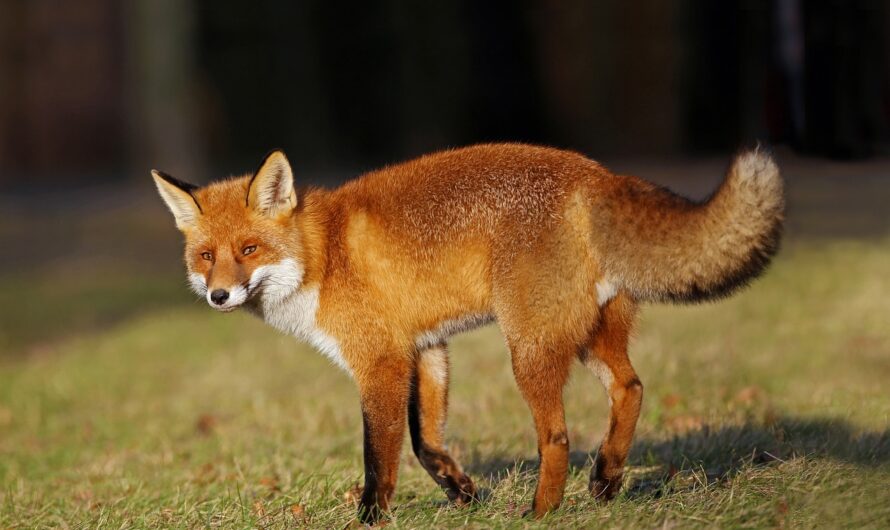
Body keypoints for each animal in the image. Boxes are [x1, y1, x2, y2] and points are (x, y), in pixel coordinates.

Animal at [154, 142, 784, 520]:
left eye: (249, 250)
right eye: (207, 257)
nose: (218, 295)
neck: (323, 256)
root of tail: (596, 174)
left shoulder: (380, 361)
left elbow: (378, 457)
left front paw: (371, 519)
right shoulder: (426, 348)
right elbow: (426, 442)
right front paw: (463, 493)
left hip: (528, 349)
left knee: (557, 437)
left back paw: (542, 513)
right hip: (587, 337)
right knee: (631, 389)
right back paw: (605, 482)